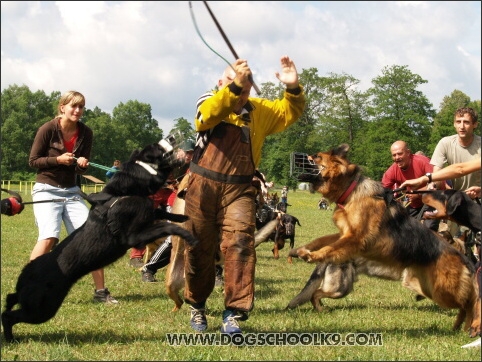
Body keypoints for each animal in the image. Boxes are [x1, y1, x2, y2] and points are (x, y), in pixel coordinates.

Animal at [1, 142, 198, 342]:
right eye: (157, 151)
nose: (175, 147)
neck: (124, 191)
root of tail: (26, 274)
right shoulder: (134, 237)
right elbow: (165, 226)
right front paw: (188, 235)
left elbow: (160, 213)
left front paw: (182, 216)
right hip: (42, 308)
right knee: (8, 315)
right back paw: (10, 338)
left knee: (10, 300)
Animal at [288, 144, 480, 336]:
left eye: (315, 157)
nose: (294, 157)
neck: (352, 191)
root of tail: (462, 257)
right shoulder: (344, 235)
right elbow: (322, 240)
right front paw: (301, 250)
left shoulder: (354, 238)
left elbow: (329, 248)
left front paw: (313, 255)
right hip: (431, 290)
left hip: (441, 292)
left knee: (471, 300)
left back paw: (473, 325)